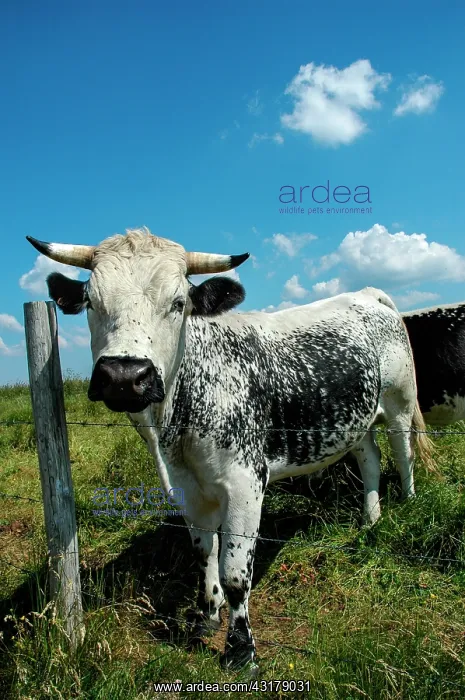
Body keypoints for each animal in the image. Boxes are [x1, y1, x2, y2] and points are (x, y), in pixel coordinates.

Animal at [26, 228, 432, 672]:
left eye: (179, 303)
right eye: (91, 302)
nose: (123, 376)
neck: (174, 427)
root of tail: (367, 294)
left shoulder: (246, 483)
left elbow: (236, 572)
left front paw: (240, 648)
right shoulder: (185, 488)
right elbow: (205, 553)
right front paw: (207, 612)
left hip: (400, 400)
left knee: (404, 452)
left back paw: (408, 506)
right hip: (355, 420)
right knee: (370, 459)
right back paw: (369, 520)